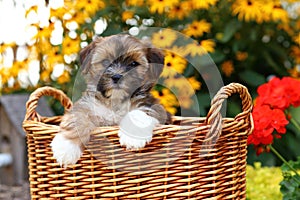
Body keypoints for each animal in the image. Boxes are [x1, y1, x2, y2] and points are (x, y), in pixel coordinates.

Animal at [50, 34, 170, 167]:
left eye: (134, 63)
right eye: (106, 62)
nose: (117, 76)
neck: (115, 101)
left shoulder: (154, 107)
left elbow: (138, 113)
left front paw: (133, 137)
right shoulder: (88, 105)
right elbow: (76, 118)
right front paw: (66, 147)